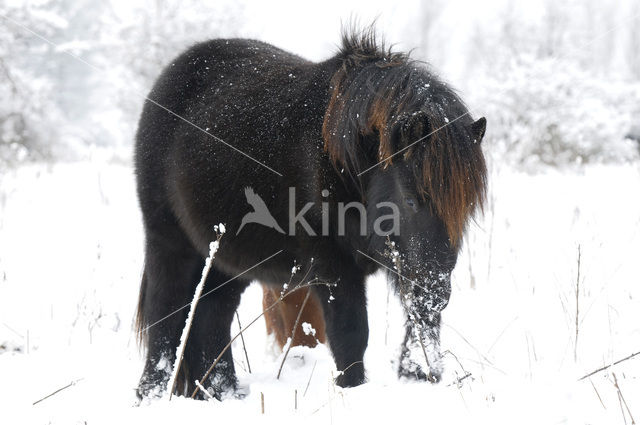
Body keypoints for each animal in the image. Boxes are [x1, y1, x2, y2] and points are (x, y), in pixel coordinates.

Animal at [134, 28, 484, 400]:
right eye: (411, 200)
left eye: (466, 207)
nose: (437, 293)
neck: (342, 156)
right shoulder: (334, 267)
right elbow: (351, 335)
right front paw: (352, 390)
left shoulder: (402, 264)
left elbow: (418, 323)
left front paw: (418, 371)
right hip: (169, 242)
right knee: (165, 314)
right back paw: (152, 392)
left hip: (226, 260)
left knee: (210, 317)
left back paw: (222, 392)